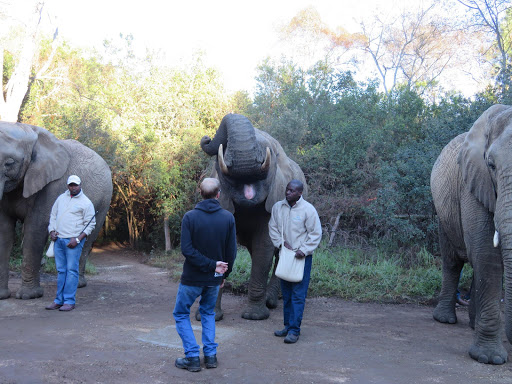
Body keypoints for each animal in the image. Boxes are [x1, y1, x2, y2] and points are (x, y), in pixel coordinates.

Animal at [0, 122, 112, 300]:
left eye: (9, 163)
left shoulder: (51, 185)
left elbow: (35, 229)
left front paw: (28, 296)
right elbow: (4, 232)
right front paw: (2, 296)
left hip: (104, 200)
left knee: (88, 238)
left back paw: (78, 284)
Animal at [200, 114, 308, 320]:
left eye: (269, 152)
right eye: (224, 151)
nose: (207, 138)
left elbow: (263, 245)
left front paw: (254, 317)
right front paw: (210, 317)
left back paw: (271, 302)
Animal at [430, 104, 512, 364]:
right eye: (491, 165)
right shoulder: (473, 181)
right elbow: (486, 254)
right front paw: (489, 359)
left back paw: (474, 325)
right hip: (443, 212)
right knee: (452, 262)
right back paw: (445, 319)